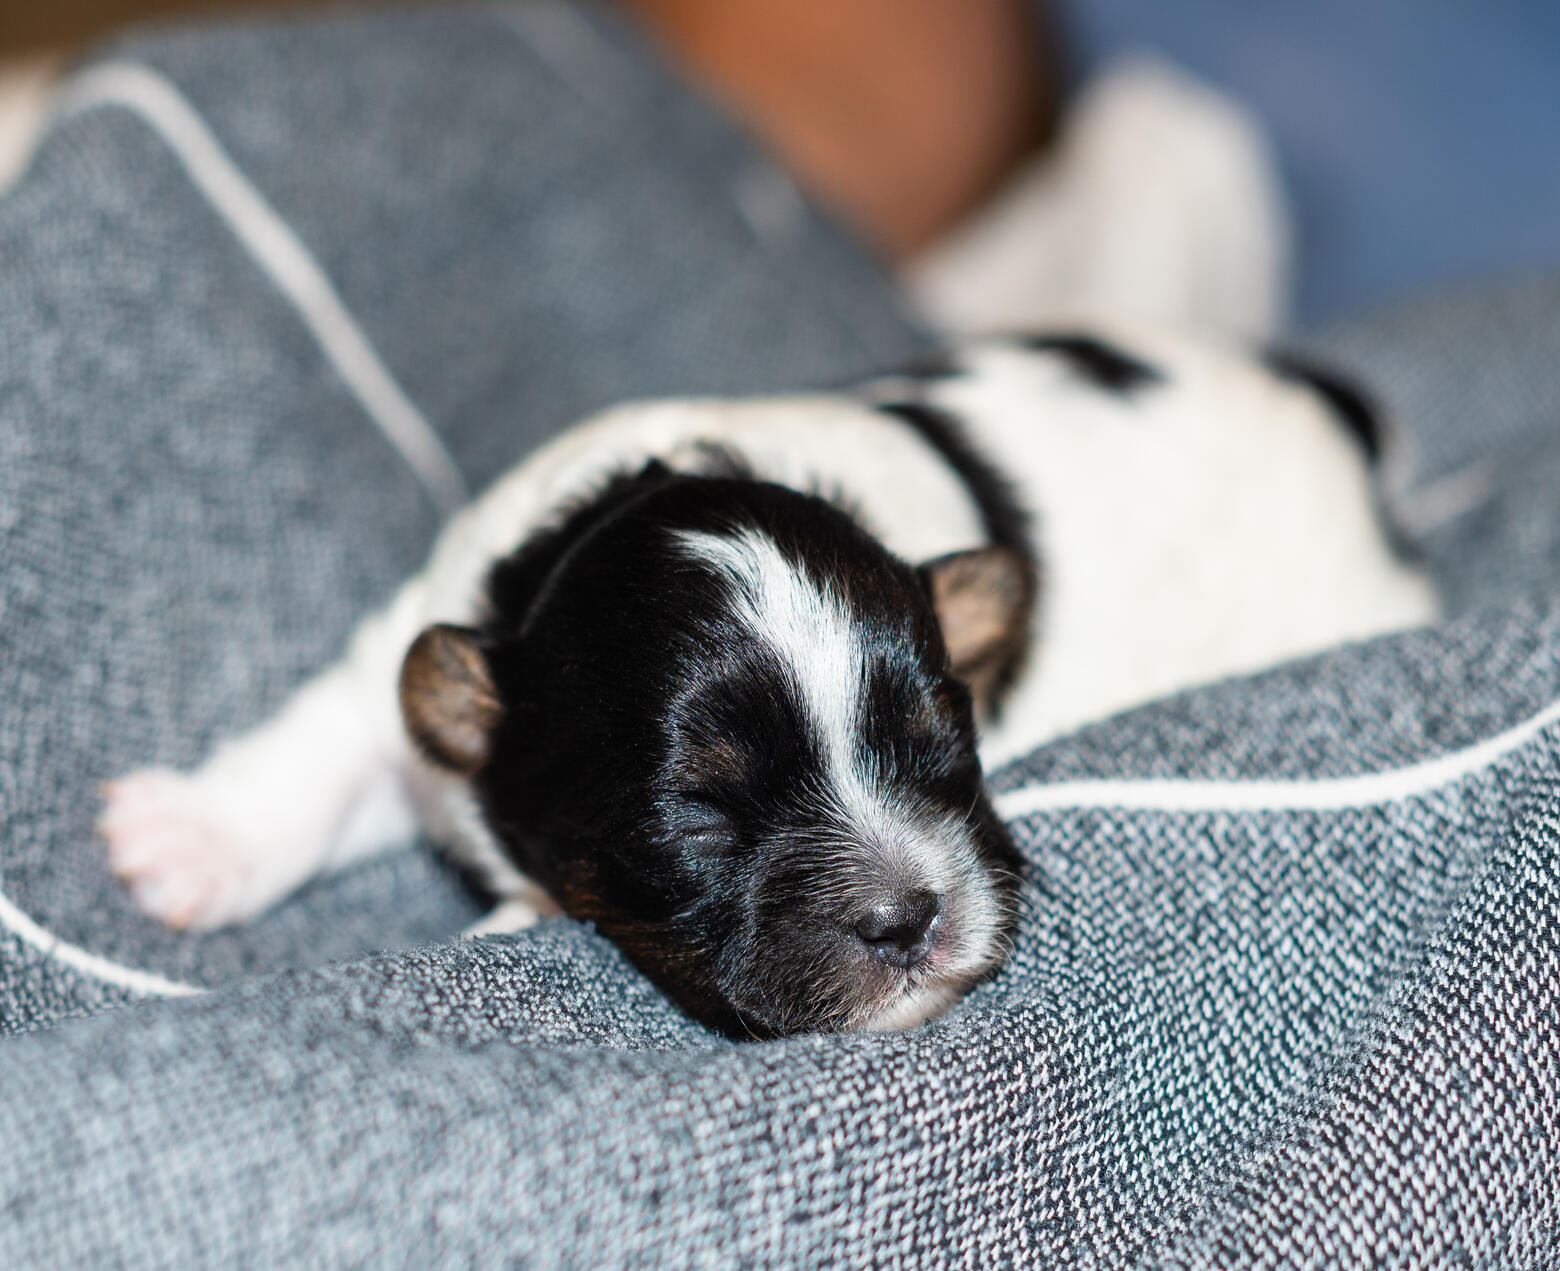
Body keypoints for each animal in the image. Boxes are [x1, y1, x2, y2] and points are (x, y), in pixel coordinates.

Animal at [98, 324, 1437, 1037]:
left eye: (943, 750)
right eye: (695, 813)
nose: (909, 916)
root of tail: (1326, 411)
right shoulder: (433, 656)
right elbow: (330, 742)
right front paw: (185, 840)